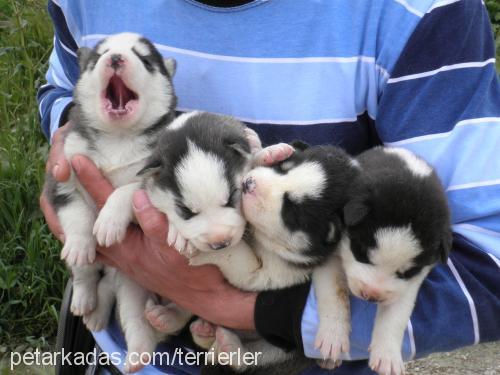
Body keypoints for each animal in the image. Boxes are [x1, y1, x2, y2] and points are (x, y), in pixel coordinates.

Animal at [45, 32, 178, 374]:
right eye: (99, 57)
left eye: (143, 58)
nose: (116, 58)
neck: (118, 138)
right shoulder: (63, 175)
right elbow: (77, 215)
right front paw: (82, 243)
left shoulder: (154, 177)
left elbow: (125, 192)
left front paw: (107, 222)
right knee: (88, 276)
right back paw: (85, 302)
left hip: (135, 283)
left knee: (133, 317)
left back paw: (139, 349)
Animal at [340, 146, 454, 375]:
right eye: (361, 253)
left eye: (407, 272)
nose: (371, 296)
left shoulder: (409, 285)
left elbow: (395, 315)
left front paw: (387, 356)